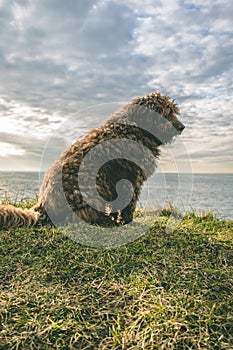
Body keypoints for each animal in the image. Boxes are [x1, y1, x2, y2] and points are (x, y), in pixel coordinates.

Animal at [0, 92, 186, 230]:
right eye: (167, 112)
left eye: (173, 111)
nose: (182, 127)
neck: (135, 128)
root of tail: (43, 207)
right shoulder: (132, 179)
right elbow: (129, 204)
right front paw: (127, 221)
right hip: (93, 188)